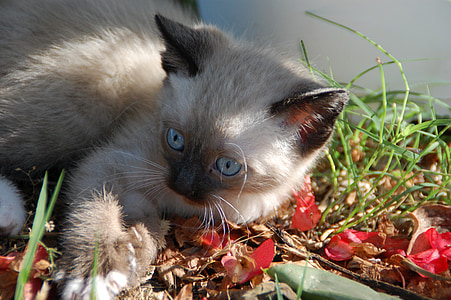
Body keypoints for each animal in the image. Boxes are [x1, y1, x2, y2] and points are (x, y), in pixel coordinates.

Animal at [0, 0, 350, 298]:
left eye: (227, 166)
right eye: (175, 139)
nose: (181, 184)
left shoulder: (146, 199)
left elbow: (150, 233)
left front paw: (130, 254)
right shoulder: (107, 163)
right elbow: (96, 213)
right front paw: (95, 275)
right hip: (80, 109)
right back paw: (10, 214)